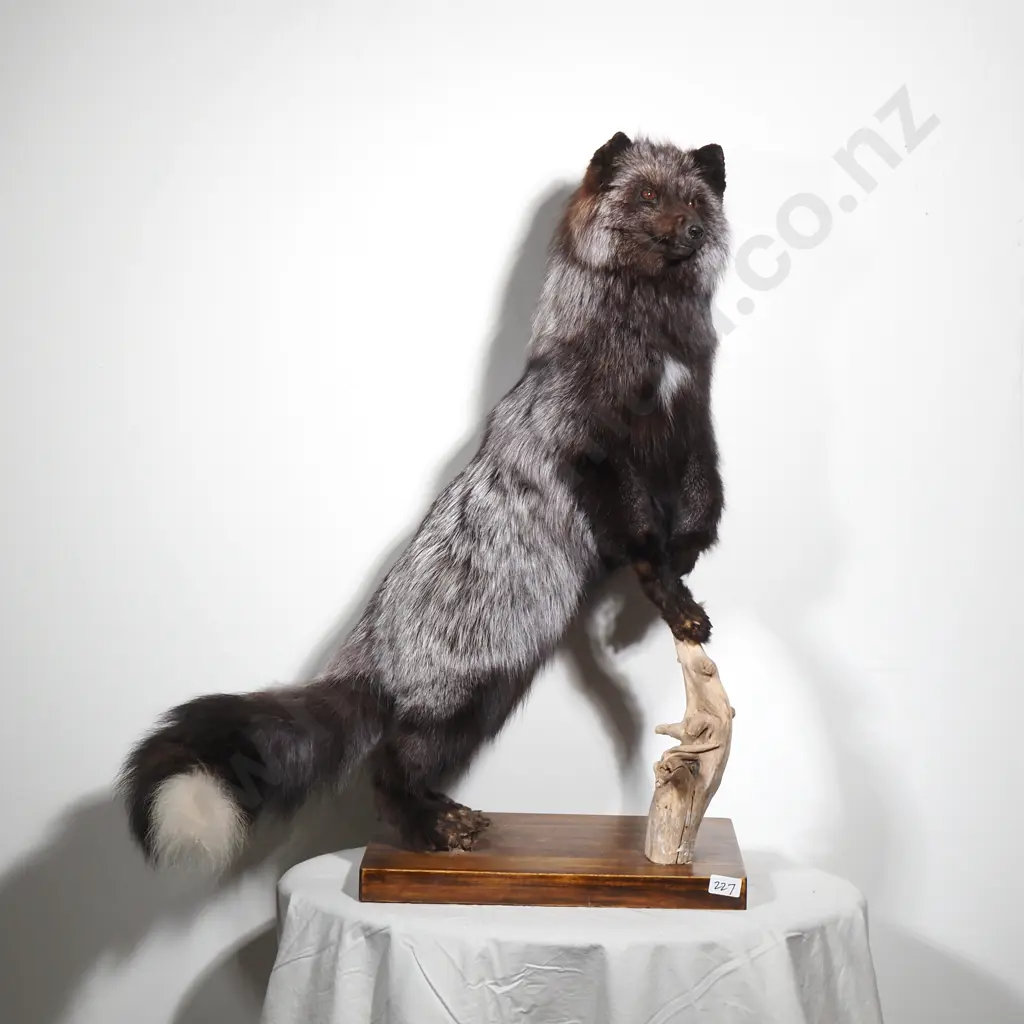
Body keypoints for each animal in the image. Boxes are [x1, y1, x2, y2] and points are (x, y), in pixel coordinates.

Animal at [119, 132, 731, 872]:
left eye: (695, 199)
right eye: (646, 193)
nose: (693, 229)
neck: (654, 352)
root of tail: (366, 655)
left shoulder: (694, 424)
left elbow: (705, 498)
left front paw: (689, 556)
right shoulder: (596, 451)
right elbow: (640, 541)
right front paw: (680, 604)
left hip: (488, 700)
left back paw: (449, 815)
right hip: (464, 697)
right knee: (385, 771)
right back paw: (437, 830)